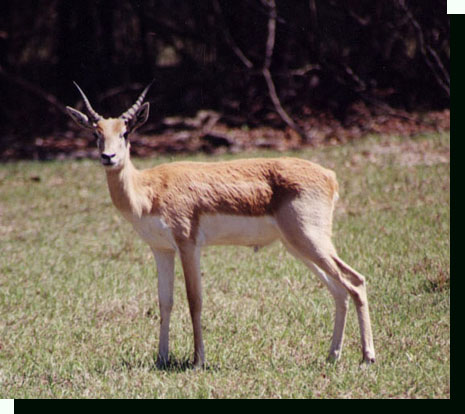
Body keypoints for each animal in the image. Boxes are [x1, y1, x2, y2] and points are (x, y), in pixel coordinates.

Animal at [67, 82, 376, 368]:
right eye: (96, 133)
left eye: (126, 132)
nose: (108, 157)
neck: (148, 190)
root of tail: (330, 176)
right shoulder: (161, 250)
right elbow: (165, 302)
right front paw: (161, 358)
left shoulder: (188, 244)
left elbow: (195, 299)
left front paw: (197, 360)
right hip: (297, 246)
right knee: (339, 289)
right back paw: (332, 356)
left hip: (310, 240)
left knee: (355, 281)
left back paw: (367, 357)